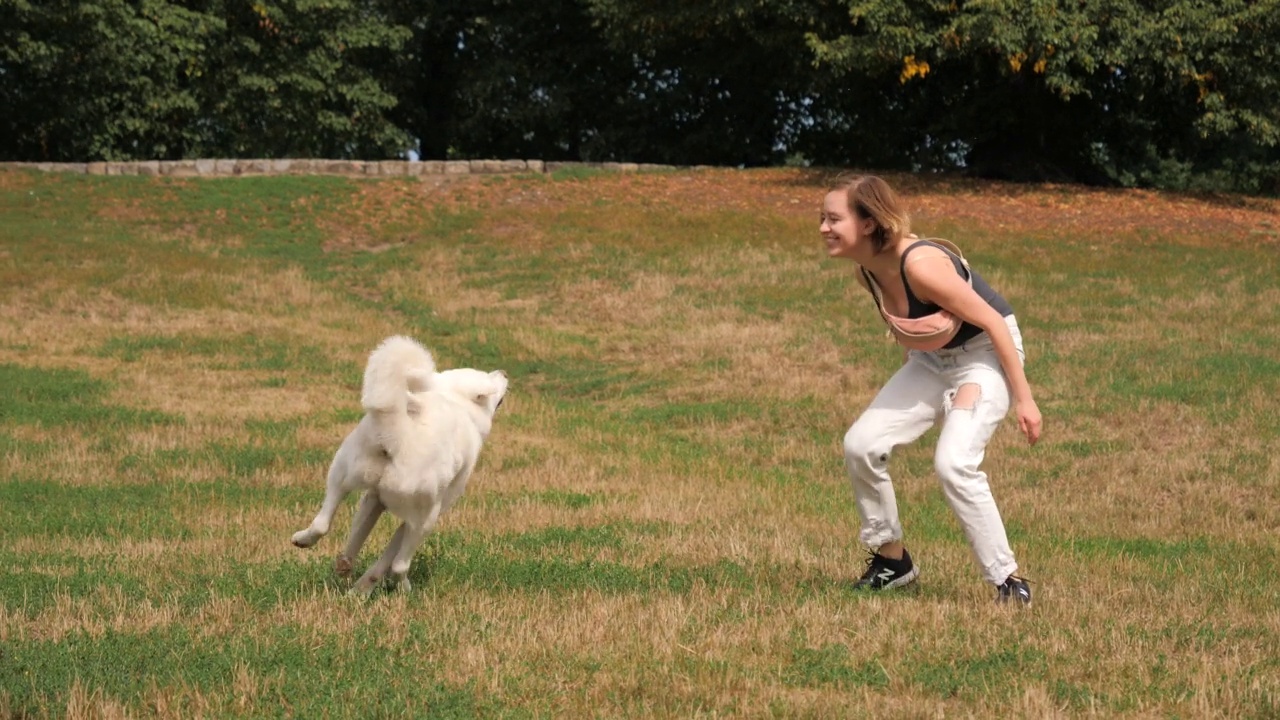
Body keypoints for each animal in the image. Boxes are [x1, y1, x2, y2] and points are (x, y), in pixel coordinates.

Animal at [293, 335, 506, 594]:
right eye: (488, 377)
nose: (504, 372)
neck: (454, 402)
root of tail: (399, 432)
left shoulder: (373, 499)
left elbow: (358, 537)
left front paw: (351, 579)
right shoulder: (416, 518)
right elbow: (386, 560)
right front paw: (364, 587)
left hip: (341, 470)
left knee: (322, 522)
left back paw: (306, 541)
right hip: (426, 519)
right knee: (400, 565)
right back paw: (405, 589)